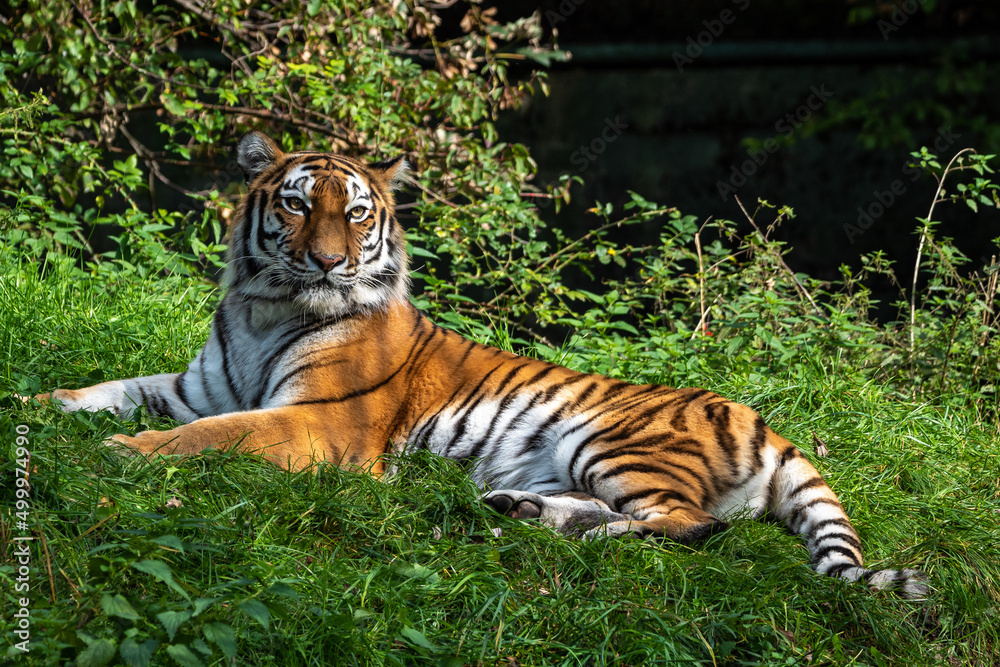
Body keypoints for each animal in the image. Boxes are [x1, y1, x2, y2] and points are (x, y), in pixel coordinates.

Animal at [39, 131, 927, 598]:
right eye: (294, 204)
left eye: (353, 214)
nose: (327, 263)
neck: (269, 305)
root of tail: (764, 419)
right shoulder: (192, 387)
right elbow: (113, 389)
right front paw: (44, 404)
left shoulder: (318, 422)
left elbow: (213, 436)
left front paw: (121, 452)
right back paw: (520, 511)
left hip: (611, 439)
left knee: (691, 526)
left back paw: (579, 536)